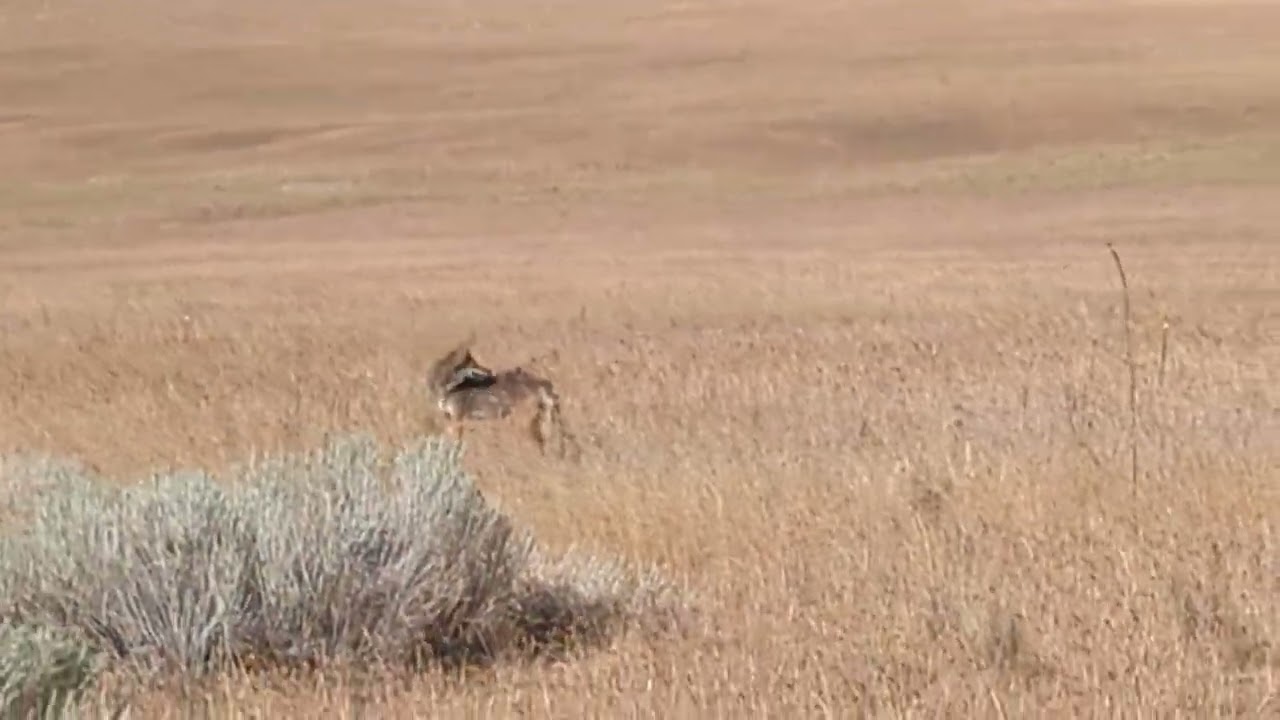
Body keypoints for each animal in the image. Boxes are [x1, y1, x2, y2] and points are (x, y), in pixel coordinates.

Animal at [425, 337, 579, 459]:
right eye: (474, 363)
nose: (489, 371)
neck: (447, 387)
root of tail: (543, 382)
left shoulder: (457, 420)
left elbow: (455, 444)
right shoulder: (449, 418)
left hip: (523, 422)